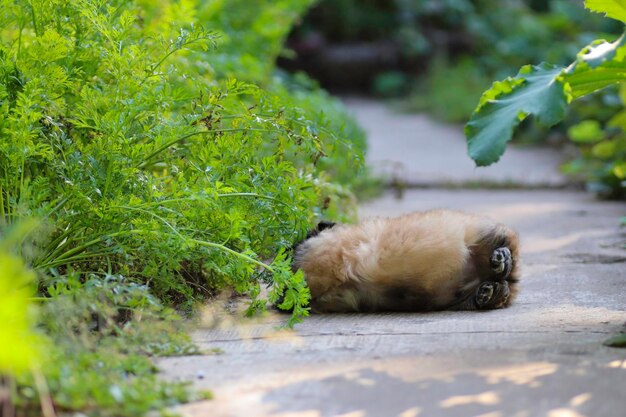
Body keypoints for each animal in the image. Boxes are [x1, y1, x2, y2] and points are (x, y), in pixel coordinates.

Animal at [292, 211, 516, 312]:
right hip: (462, 299)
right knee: (494, 289)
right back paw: (490, 291)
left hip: (480, 235)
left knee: (504, 248)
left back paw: (501, 260)